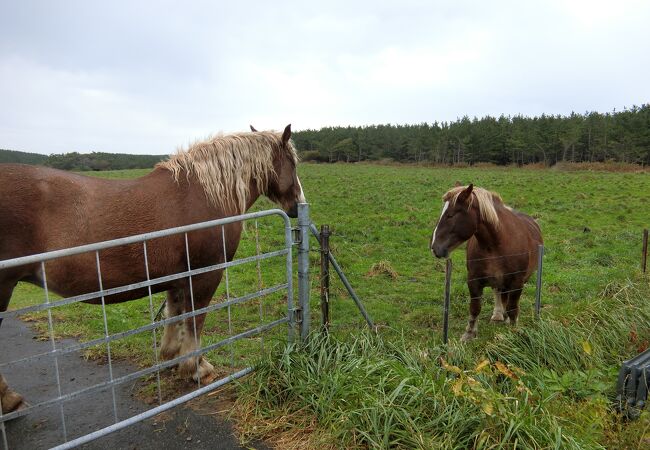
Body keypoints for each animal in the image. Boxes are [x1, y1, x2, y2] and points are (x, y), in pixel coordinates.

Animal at [0, 125, 306, 414]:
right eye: (293, 162)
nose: (297, 206)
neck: (204, 195)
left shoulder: (177, 277)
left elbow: (175, 314)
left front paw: (172, 356)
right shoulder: (205, 275)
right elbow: (194, 320)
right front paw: (195, 367)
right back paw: (9, 400)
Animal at [430, 183, 540, 342]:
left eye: (450, 215)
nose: (434, 247)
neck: (496, 245)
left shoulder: (517, 282)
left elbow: (513, 308)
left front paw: (514, 330)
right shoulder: (474, 280)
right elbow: (475, 307)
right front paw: (469, 333)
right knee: (498, 291)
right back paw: (498, 315)